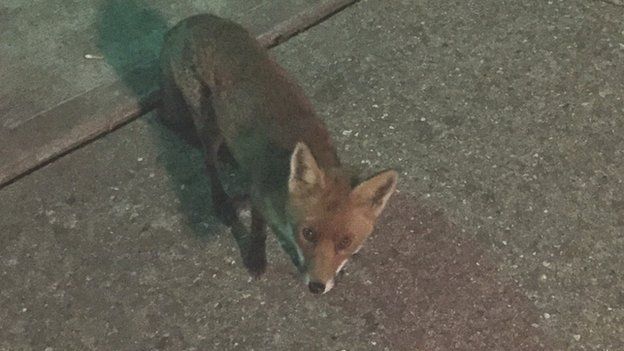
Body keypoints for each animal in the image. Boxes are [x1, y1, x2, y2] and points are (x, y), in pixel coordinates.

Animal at [158, 13, 398, 294]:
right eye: (308, 233)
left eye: (345, 242)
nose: (317, 287)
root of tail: (189, 21)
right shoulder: (259, 197)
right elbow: (258, 229)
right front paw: (256, 258)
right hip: (209, 120)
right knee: (202, 153)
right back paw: (222, 198)